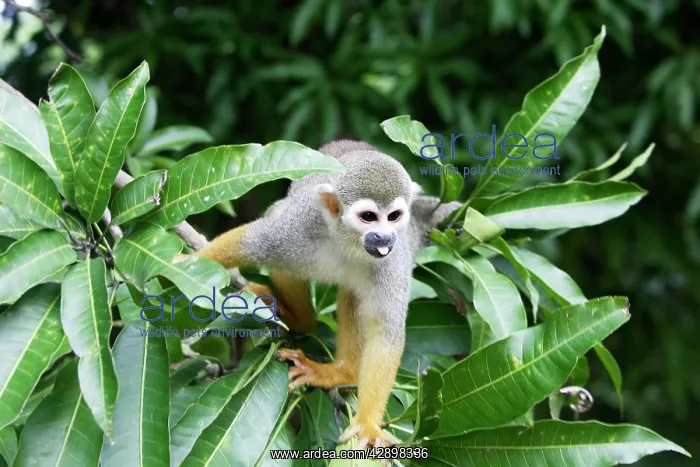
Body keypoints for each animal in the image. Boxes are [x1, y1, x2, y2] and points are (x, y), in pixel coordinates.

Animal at [194, 140, 460, 448]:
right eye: (369, 217)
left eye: (393, 217)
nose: (384, 236)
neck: (349, 242)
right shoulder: (301, 226)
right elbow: (252, 243)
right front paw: (178, 265)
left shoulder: (392, 259)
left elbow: (385, 331)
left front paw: (367, 424)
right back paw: (300, 321)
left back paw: (341, 372)